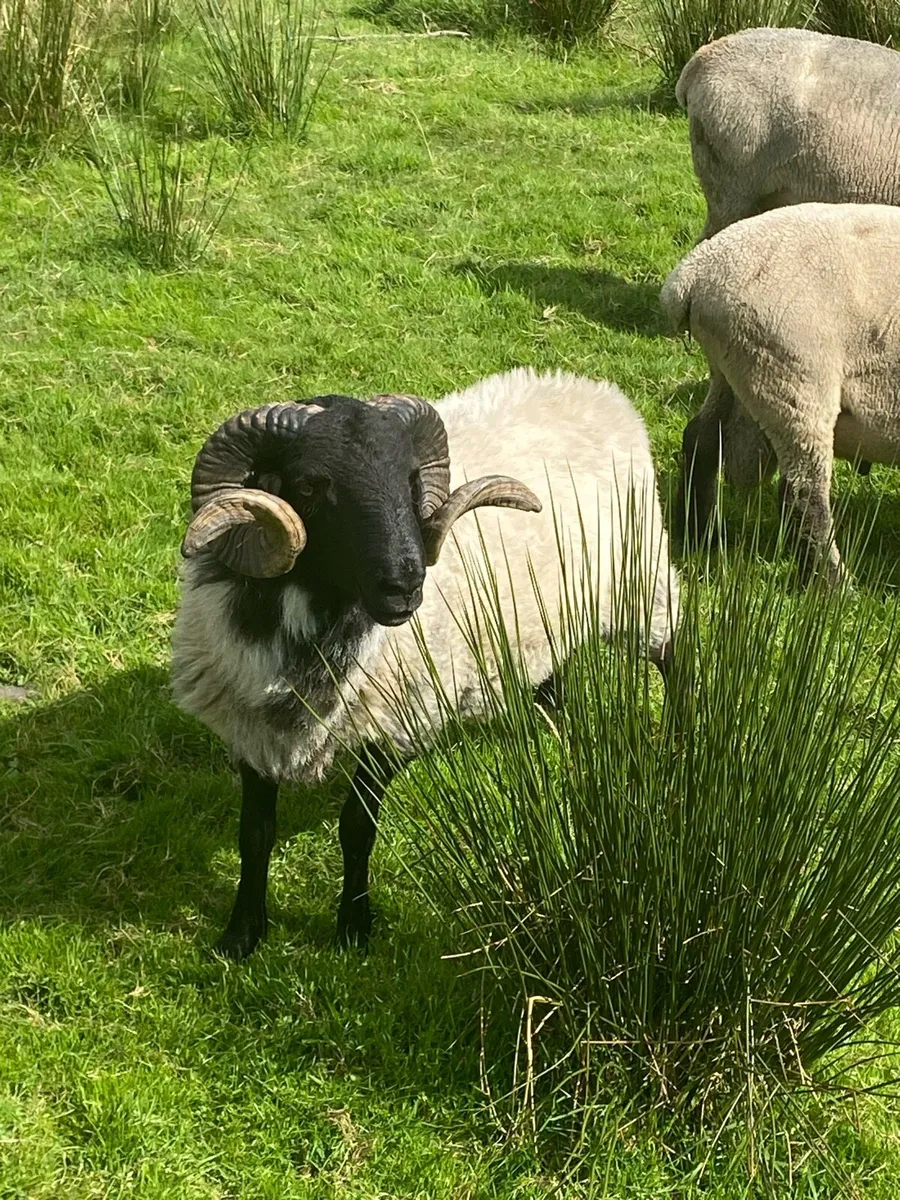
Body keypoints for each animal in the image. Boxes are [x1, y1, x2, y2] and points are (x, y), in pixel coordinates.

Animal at [171, 368, 679, 959]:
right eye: (308, 485)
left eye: (411, 481)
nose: (404, 584)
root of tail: (594, 389)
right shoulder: (248, 723)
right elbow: (255, 833)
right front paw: (241, 934)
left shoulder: (398, 721)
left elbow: (356, 828)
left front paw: (354, 927)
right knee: (556, 676)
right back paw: (556, 734)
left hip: (642, 582)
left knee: (676, 655)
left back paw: (680, 739)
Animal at [661, 202, 900, 580]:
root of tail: (693, 275)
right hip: (792, 373)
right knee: (801, 491)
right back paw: (830, 584)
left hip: (733, 368)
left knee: (701, 438)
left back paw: (703, 534)